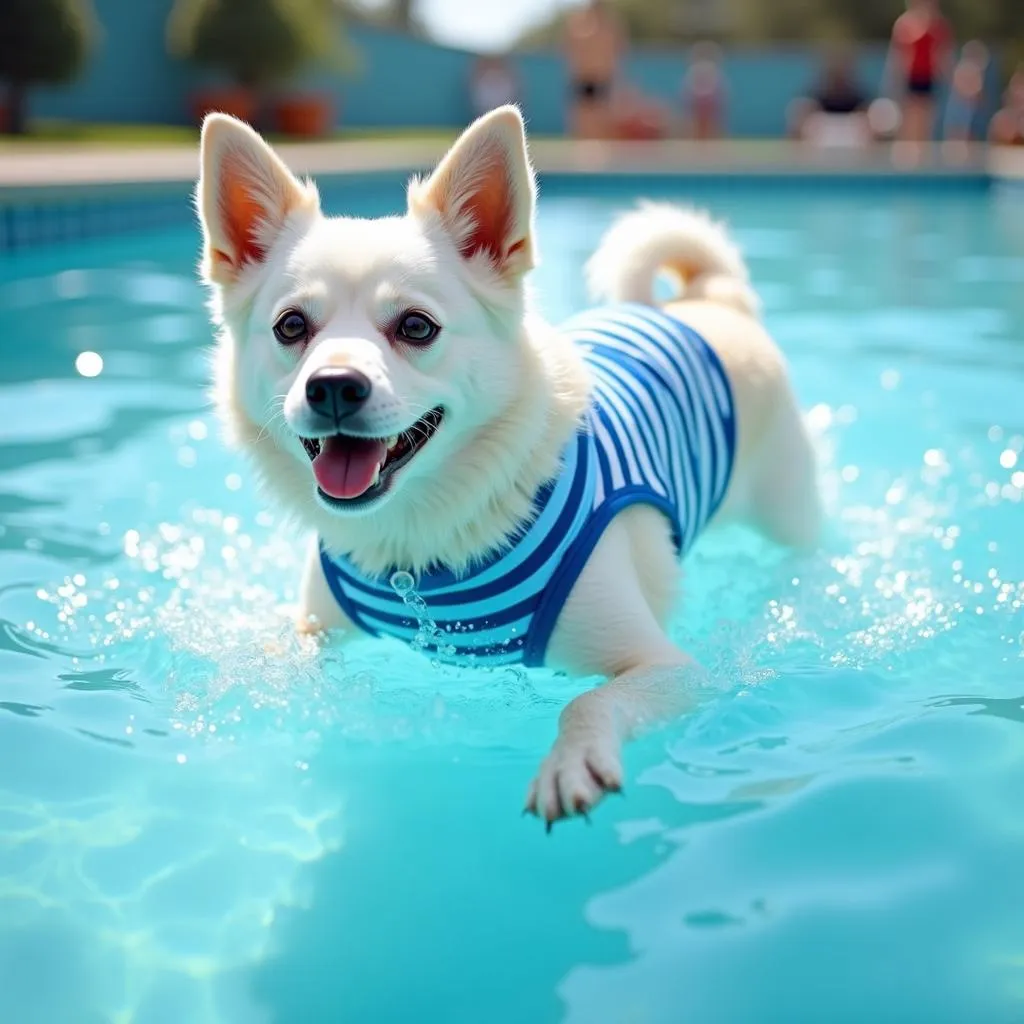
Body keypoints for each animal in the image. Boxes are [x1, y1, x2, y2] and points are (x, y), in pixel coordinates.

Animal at [197, 103, 823, 827]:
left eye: (416, 328)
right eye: (291, 327)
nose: (331, 386)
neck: (417, 538)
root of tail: (705, 304)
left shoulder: (672, 671)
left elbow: (589, 700)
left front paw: (571, 761)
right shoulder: (315, 629)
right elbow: (284, 661)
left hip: (788, 508)